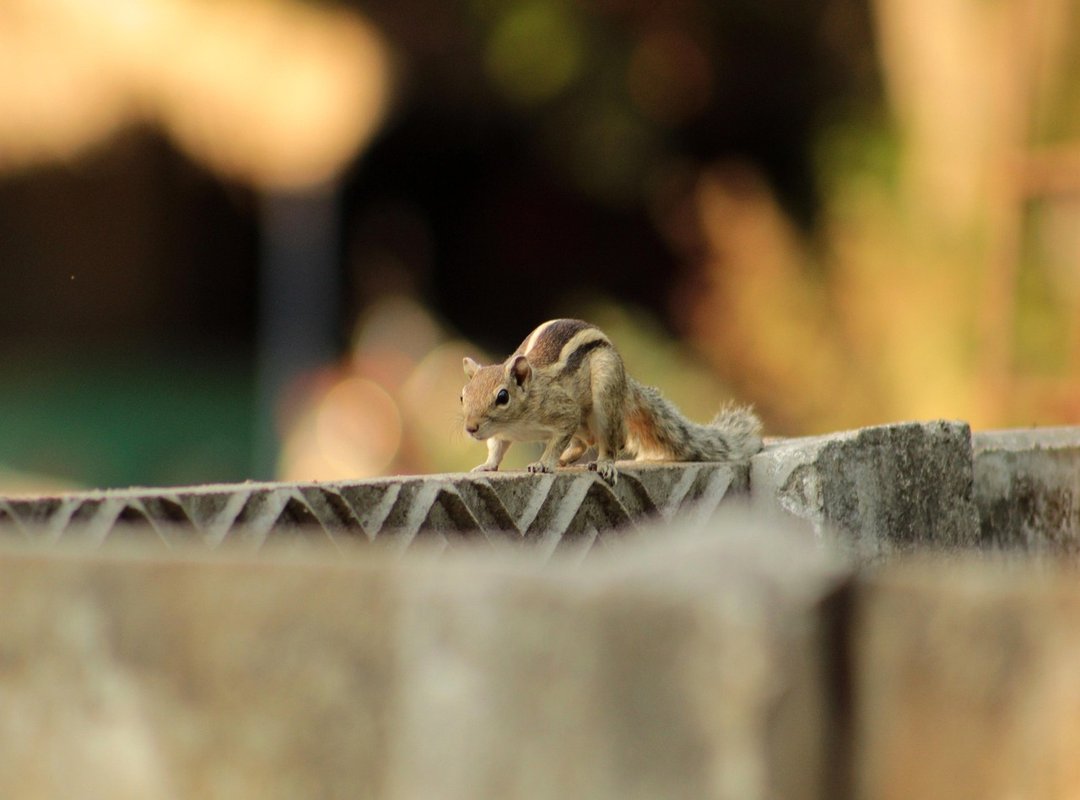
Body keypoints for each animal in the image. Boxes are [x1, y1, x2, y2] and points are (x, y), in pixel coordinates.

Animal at [460, 318, 763, 485]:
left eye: (502, 396)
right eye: (462, 395)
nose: (470, 428)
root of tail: (626, 383)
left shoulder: (565, 412)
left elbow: (557, 439)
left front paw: (544, 463)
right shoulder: (501, 433)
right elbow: (496, 447)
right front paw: (487, 465)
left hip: (604, 396)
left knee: (612, 442)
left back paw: (603, 463)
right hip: (587, 423)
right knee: (584, 444)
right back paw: (568, 460)